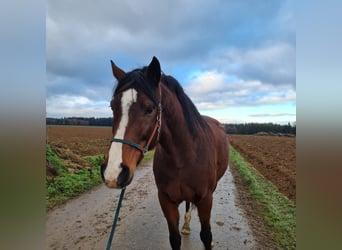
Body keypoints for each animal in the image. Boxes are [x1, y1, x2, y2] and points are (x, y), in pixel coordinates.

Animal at [101, 56, 230, 250]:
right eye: (112, 107)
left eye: (149, 109)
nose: (113, 173)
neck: (184, 157)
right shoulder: (166, 200)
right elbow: (174, 238)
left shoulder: (206, 199)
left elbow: (206, 236)